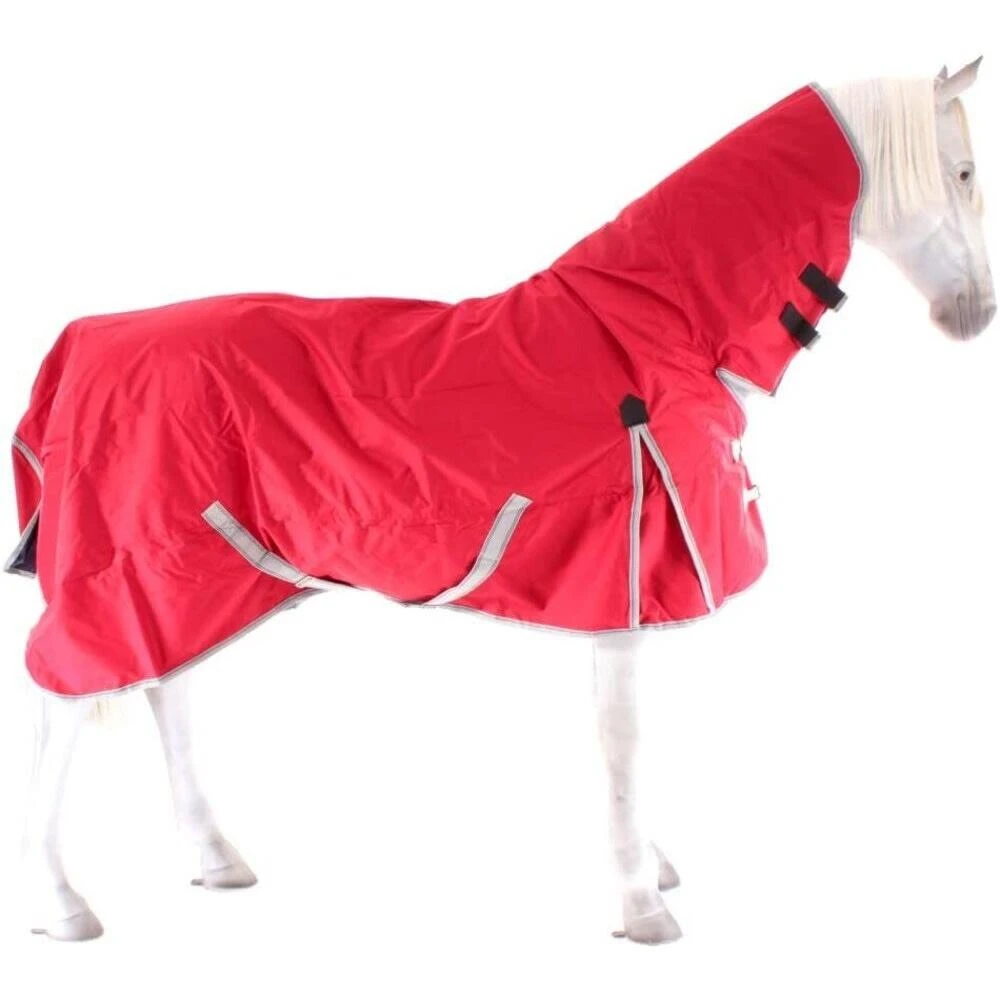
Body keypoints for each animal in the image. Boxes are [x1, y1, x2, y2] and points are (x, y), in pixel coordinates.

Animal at [9, 59, 994, 944]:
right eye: (963, 171)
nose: (975, 313)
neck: (664, 329)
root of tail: (85, 341)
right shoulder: (620, 592)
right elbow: (623, 744)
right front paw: (642, 905)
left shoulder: (625, 594)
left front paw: (651, 868)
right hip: (125, 573)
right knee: (66, 706)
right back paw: (62, 905)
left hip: (190, 574)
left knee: (161, 688)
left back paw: (214, 859)